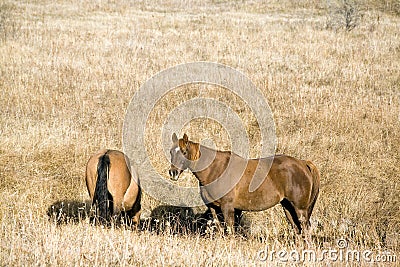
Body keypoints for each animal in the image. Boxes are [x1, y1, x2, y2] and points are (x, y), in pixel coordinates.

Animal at [168, 134, 318, 237]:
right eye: (171, 152)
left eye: (184, 152)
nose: (173, 173)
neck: (216, 170)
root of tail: (302, 163)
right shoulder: (213, 208)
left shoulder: (227, 208)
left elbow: (230, 231)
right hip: (288, 207)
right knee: (297, 230)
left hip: (300, 209)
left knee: (305, 230)